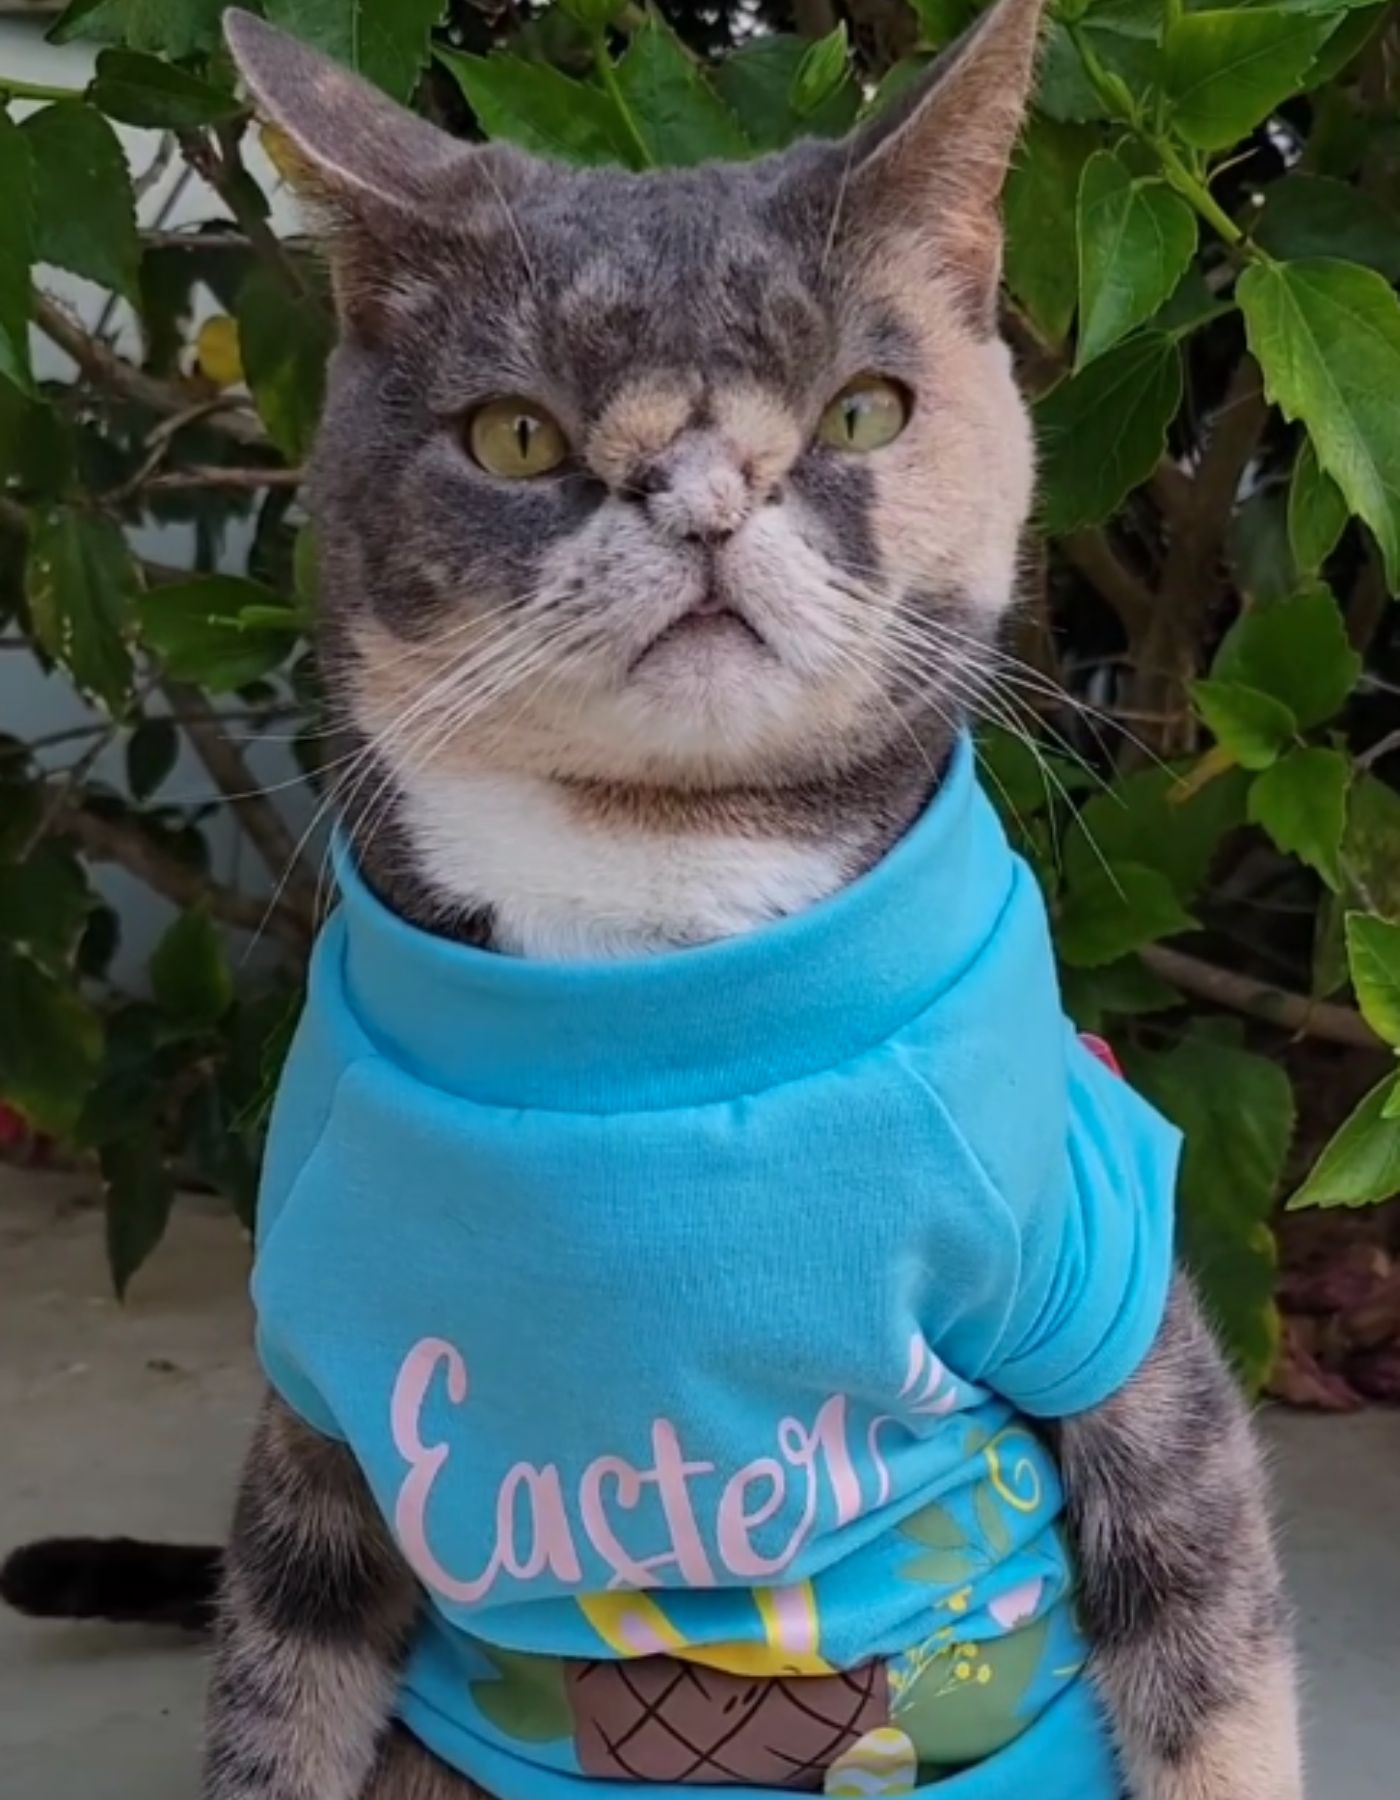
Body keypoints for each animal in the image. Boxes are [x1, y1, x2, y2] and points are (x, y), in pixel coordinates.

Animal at [0, 3, 1295, 1800]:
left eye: (861, 414)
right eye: (517, 436)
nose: (703, 498)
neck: (659, 925)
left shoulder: (1108, 1304)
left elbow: (1210, 1654)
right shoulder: (318, 1401)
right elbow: (282, 1684)